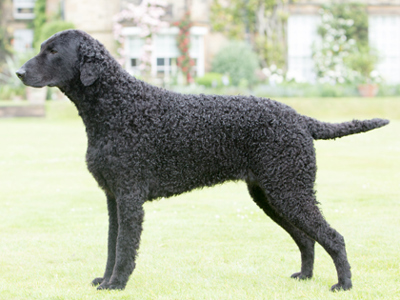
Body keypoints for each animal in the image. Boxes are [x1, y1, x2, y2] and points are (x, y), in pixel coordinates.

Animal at [17, 29, 390, 290]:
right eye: (42, 48)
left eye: (52, 51)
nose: (19, 72)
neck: (118, 105)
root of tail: (300, 118)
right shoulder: (113, 198)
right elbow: (112, 245)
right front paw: (104, 280)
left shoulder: (129, 196)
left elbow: (124, 248)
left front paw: (117, 284)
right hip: (272, 194)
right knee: (307, 238)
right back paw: (305, 276)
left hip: (289, 189)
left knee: (333, 237)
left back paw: (343, 284)